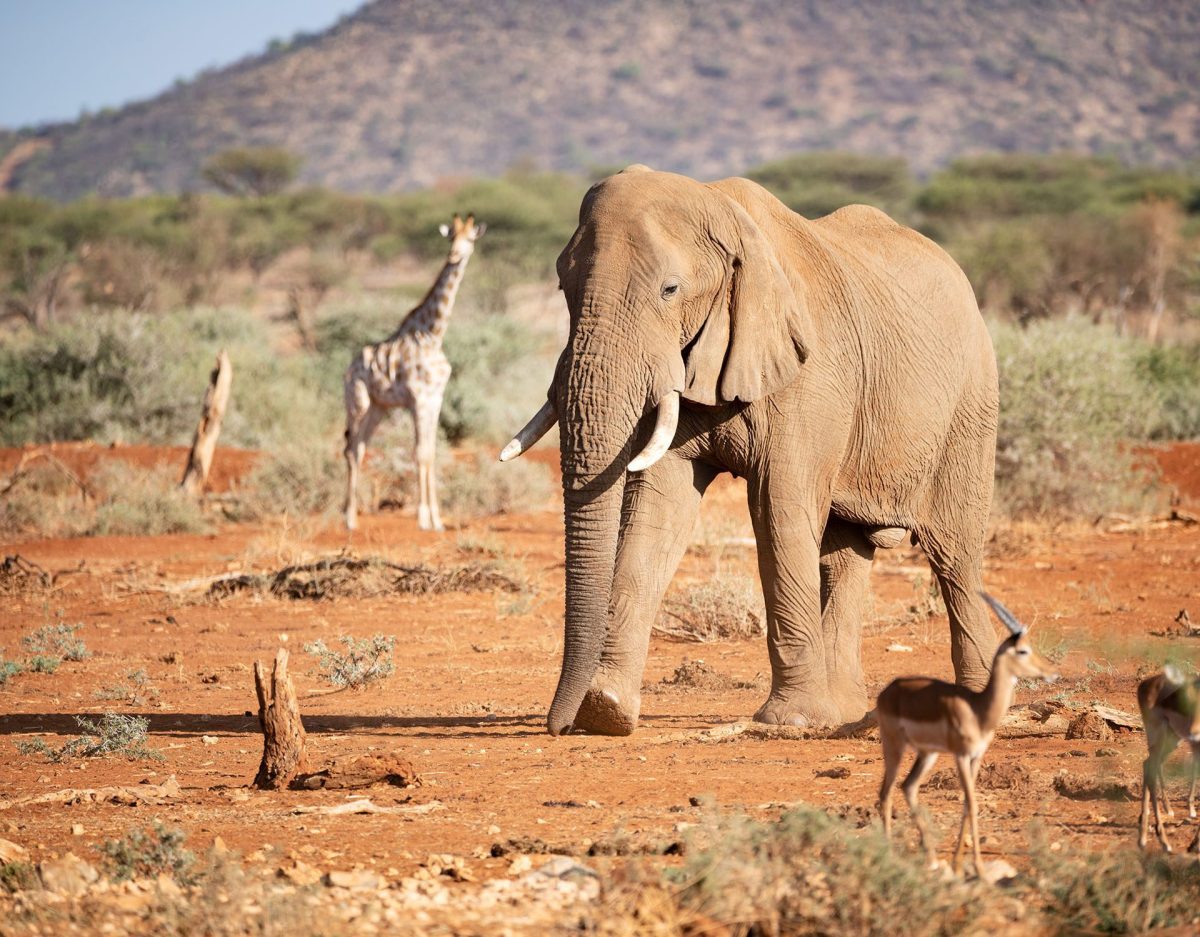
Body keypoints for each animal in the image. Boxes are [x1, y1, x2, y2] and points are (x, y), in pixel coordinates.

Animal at [340, 214, 484, 530]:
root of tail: (348, 369)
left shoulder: (435, 400)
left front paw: (437, 520)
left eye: (470, 238)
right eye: (450, 236)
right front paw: (422, 518)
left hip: (379, 408)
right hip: (358, 403)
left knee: (360, 448)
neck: (433, 334)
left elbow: (431, 453)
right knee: (350, 450)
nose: (454, 256)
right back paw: (349, 519)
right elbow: (419, 454)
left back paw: (352, 515)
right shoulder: (418, 399)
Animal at [501, 167, 998, 739]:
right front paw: (605, 711)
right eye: (564, 286)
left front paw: (792, 720)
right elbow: (656, 512)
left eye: (670, 289)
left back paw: (972, 707)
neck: (724, 215)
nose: (556, 726)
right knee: (847, 552)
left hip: (972, 403)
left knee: (955, 555)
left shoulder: (810, 376)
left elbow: (779, 511)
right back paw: (848, 712)